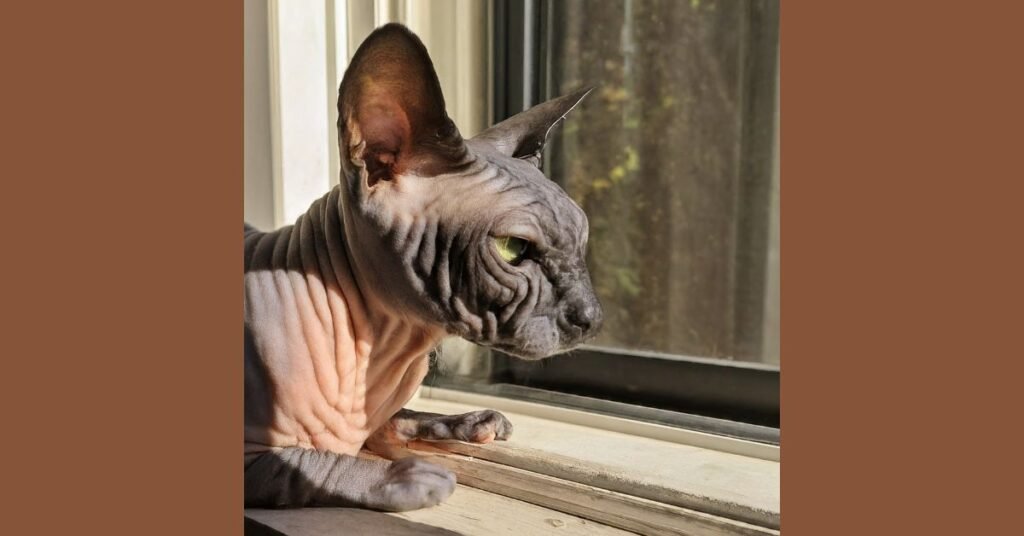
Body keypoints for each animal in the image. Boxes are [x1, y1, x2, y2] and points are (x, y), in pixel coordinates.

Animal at [242, 24, 598, 512]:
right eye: (513, 248)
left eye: (582, 238)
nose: (592, 318)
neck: (388, 353)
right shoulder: (251, 458)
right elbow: (311, 464)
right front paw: (407, 476)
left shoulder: (381, 412)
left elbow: (405, 416)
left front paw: (472, 420)